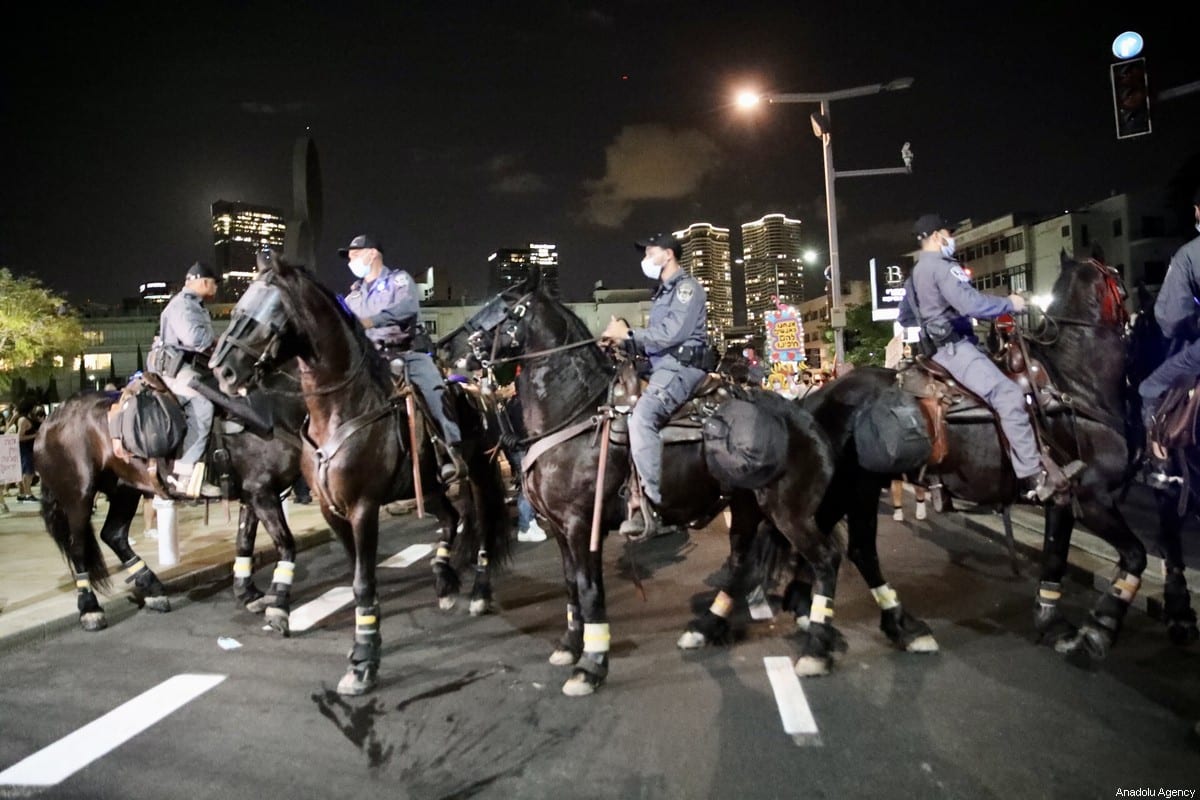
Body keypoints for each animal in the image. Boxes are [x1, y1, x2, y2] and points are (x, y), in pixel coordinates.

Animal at [32, 371, 307, 633]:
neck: (275, 408)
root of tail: (52, 418)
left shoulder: (253, 495)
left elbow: (244, 542)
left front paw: (250, 594)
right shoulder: (262, 493)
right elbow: (286, 544)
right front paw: (278, 607)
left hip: (124, 489)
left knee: (113, 534)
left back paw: (151, 588)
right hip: (78, 496)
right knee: (78, 546)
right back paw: (90, 609)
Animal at [208, 250, 508, 695]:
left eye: (259, 312)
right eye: (237, 306)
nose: (221, 371)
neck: (337, 411)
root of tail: (478, 389)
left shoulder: (363, 507)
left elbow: (363, 580)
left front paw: (364, 660)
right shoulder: (330, 509)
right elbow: (355, 571)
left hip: (480, 474)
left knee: (483, 527)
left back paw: (479, 592)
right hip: (430, 486)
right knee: (452, 518)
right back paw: (444, 579)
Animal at [441, 272, 835, 695]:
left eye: (503, 306)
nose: (445, 348)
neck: (573, 413)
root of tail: (802, 414)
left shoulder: (582, 526)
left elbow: (589, 589)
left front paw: (591, 664)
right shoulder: (560, 529)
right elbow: (570, 585)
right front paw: (570, 645)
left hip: (788, 510)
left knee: (824, 560)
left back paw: (816, 649)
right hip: (746, 505)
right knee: (742, 562)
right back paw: (705, 627)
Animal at [806, 255, 1142, 662]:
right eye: (1119, 282)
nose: (1136, 314)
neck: (1073, 383)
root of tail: (817, 397)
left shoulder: (1064, 498)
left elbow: (1054, 557)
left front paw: (1054, 624)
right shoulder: (1093, 497)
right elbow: (1135, 557)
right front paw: (1099, 628)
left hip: (851, 489)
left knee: (836, 546)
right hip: (857, 488)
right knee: (849, 550)